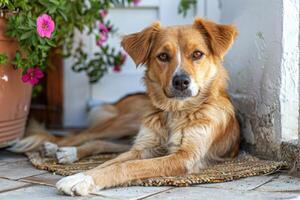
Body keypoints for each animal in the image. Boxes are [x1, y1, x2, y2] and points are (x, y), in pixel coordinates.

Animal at [9, 17, 240, 197]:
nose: (181, 82)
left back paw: (67, 153)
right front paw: (80, 176)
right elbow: (109, 163)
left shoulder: (185, 156)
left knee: (102, 143)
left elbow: (125, 165)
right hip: (125, 122)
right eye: (163, 56)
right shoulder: (144, 147)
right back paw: (56, 146)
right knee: (86, 135)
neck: (175, 111)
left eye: (198, 54)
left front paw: (81, 179)